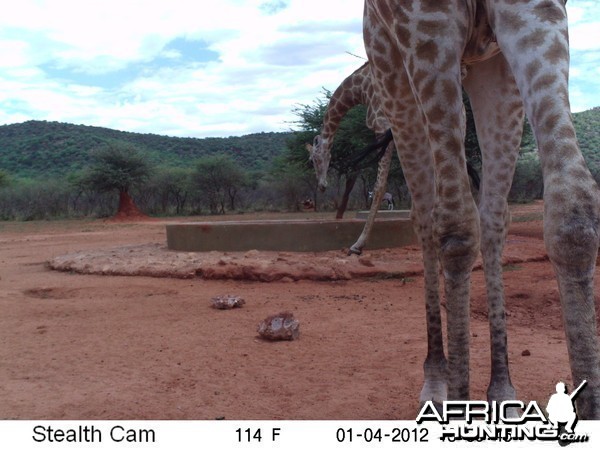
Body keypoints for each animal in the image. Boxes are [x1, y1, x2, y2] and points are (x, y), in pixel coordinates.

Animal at [308, 61, 396, 255]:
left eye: (313, 160)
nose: (322, 186)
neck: (359, 88)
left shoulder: (382, 125)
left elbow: (379, 186)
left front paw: (358, 245)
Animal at [360, 0, 600, 418]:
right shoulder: (425, 25)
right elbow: (455, 227)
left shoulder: (535, 13)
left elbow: (572, 211)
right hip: (391, 70)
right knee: (427, 217)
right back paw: (436, 380)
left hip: (482, 73)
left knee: (488, 220)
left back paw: (501, 387)